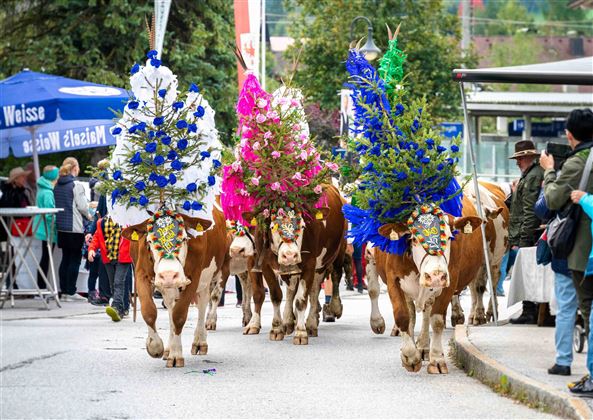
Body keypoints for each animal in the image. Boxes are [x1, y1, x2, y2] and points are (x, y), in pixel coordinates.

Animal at [122, 207, 227, 368]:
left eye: (184, 239)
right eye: (149, 241)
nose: (169, 275)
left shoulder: (194, 277)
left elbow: (179, 315)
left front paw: (176, 355)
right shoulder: (141, 274)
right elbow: (149, 311)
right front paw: (156, 347)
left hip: (210, 276)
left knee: (203, 304)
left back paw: (199, 342)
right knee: (171, 307)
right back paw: (167, 349)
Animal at [240, 185, 344, 344]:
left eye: (302, 226)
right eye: (272, 226)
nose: (289, 255)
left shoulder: (310, 264)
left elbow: (301, 299)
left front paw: (301, 332)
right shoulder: (262, 264)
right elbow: (271, 295)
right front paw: (274, 328)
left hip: (330, 258)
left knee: (321, 286)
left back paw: (314, 321)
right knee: (291, 289)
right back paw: (288, 321)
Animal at [366, 197, 486, 374]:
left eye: (449, 238)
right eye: (414, 239)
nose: (435, 275)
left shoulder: (449, 283)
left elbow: (436, 321)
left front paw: (436, 359)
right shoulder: (393, 280)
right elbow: (402, 316)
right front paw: (410, 356)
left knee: (426, 312)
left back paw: (423, 346)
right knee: (400, 305)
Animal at [448, 182, 508, 326]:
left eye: (484, 222)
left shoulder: (485, 260)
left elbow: (480, 286)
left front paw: (480, 315)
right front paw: (457, 315)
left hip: (496, 259)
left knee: (493, 280)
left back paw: (490, 311)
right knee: (472, 285)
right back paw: (471, 313)